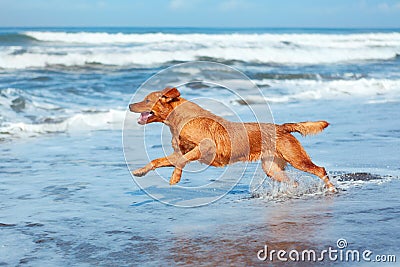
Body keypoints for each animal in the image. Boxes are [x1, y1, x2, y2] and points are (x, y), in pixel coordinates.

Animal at [130, 88, 336, 193]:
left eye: (147, 100)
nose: (130, 104)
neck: (178, 119)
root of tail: (282, 127)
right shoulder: (177, 152)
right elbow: (157, 160)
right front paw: (140, 171)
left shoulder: (205, 147)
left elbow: (181, 161)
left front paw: (175, 177)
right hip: (271, 168)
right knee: (293, 181)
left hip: (297, 159)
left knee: (320, 170)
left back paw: (332, 189)